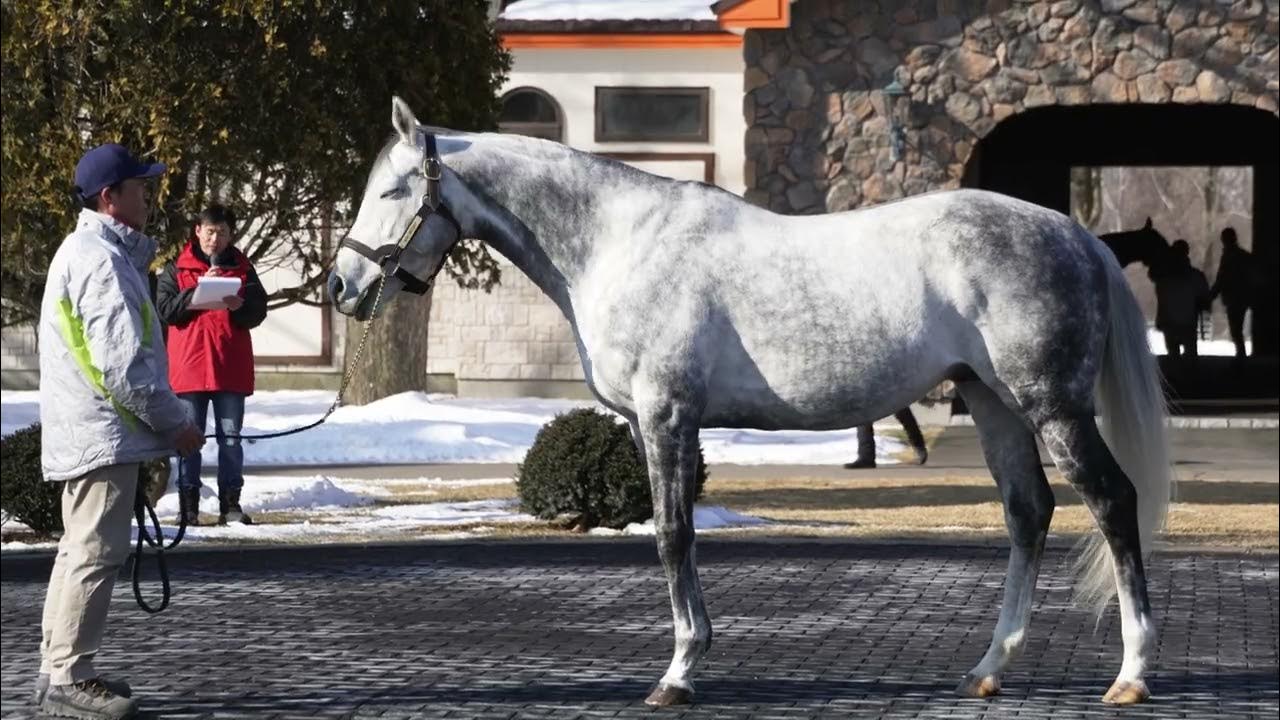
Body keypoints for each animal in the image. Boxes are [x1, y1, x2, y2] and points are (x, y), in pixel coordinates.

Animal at [329, 98, 1172, 707]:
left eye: (393, 190)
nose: (342, 285)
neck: (620, 242)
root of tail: (1071, 232)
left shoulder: (667, 414)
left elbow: (673, 537)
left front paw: (677, 673)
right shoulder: (658, 422)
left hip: (1051, 406)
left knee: (1111, 499)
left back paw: (1130, 674)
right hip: (993, 402)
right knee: (1028, 512)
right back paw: (988, 667)